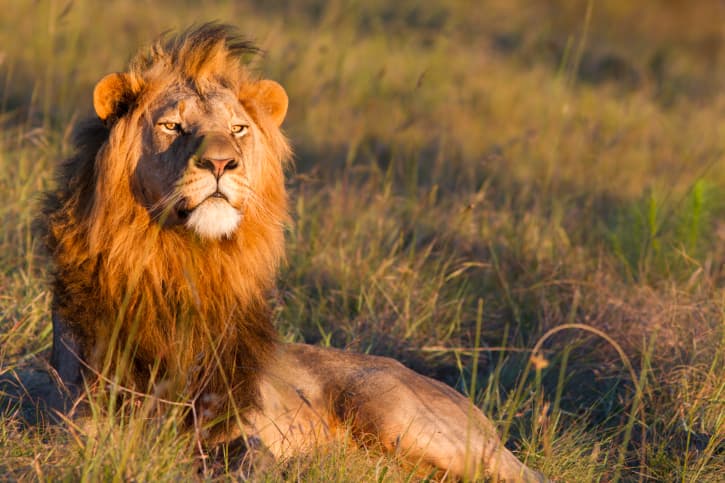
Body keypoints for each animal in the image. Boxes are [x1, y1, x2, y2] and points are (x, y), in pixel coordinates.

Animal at [31, 24, 544, 481]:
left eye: (238, 128)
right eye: (172, 126)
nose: (222, 162)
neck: (185, 261)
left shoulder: (231, 419)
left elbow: (250, 457)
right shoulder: (82, 422)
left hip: (399, 415)